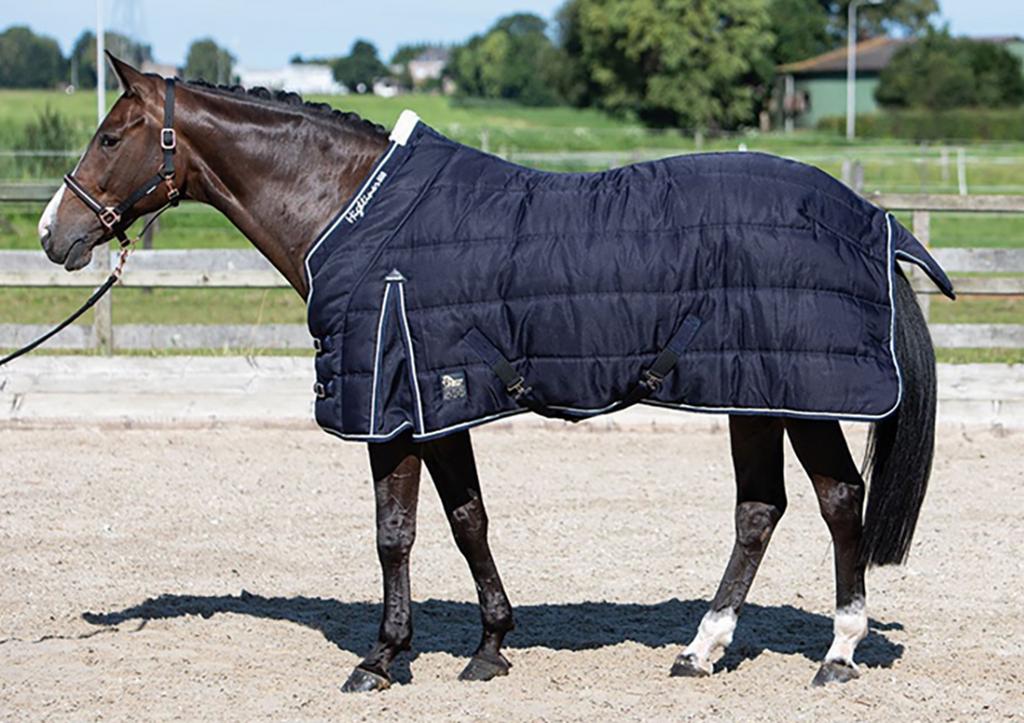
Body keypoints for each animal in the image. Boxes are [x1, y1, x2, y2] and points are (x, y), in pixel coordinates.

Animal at [36, 55, 940, 692]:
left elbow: (394, 532)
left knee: (836, 500)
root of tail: (871, 219)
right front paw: (491, 644)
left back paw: (837, 652)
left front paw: (381, 659)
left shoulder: (390, 407)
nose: (53, 233)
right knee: (762, 510)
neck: (353, 212)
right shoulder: (437, 403)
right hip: (753, 392)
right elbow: (467, 518)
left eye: (109, 137)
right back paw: (702, 649)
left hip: (798, 393)